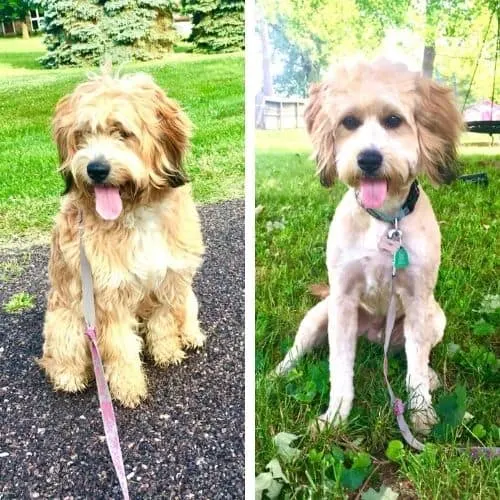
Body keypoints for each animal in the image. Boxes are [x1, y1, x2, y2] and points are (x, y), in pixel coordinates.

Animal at [38, 71, 204, 406]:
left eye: (123, 133)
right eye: (82, 135)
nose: (96, 169)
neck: (136, 211)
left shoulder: (167, 278)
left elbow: (164, 322)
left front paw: (167, 352)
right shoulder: (108, 297)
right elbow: (120, 348)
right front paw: (128, 388)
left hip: (186, 293)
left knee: (184, 312)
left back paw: (191, 335)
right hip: (66, 322)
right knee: (61, 356)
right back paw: (69, 377)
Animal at [276, 59, 462, 434]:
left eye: (394, 120)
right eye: (349, 122)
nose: (369, 159)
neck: (385, 221)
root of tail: (377, 335)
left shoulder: (418, 300)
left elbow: (415, 369)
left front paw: (421, 413)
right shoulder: (343, 301)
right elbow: (339, 368)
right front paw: (334, 417)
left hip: (435, 317)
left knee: (418, 355)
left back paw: (431, 375)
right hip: (319, 315)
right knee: (297, 349)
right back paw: (278, 372)